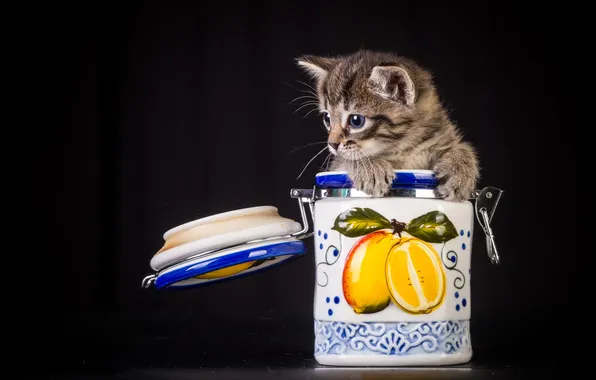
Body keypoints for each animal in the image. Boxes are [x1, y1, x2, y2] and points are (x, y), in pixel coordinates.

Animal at [298, 49, 480, 202]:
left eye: (356, 120)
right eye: (327, 118)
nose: (332, 144)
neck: (405, 147)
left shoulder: (442, 135)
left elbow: (462, 147)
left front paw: (460, 172)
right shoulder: (335, 164)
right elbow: (345, 158)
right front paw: (369, 167)